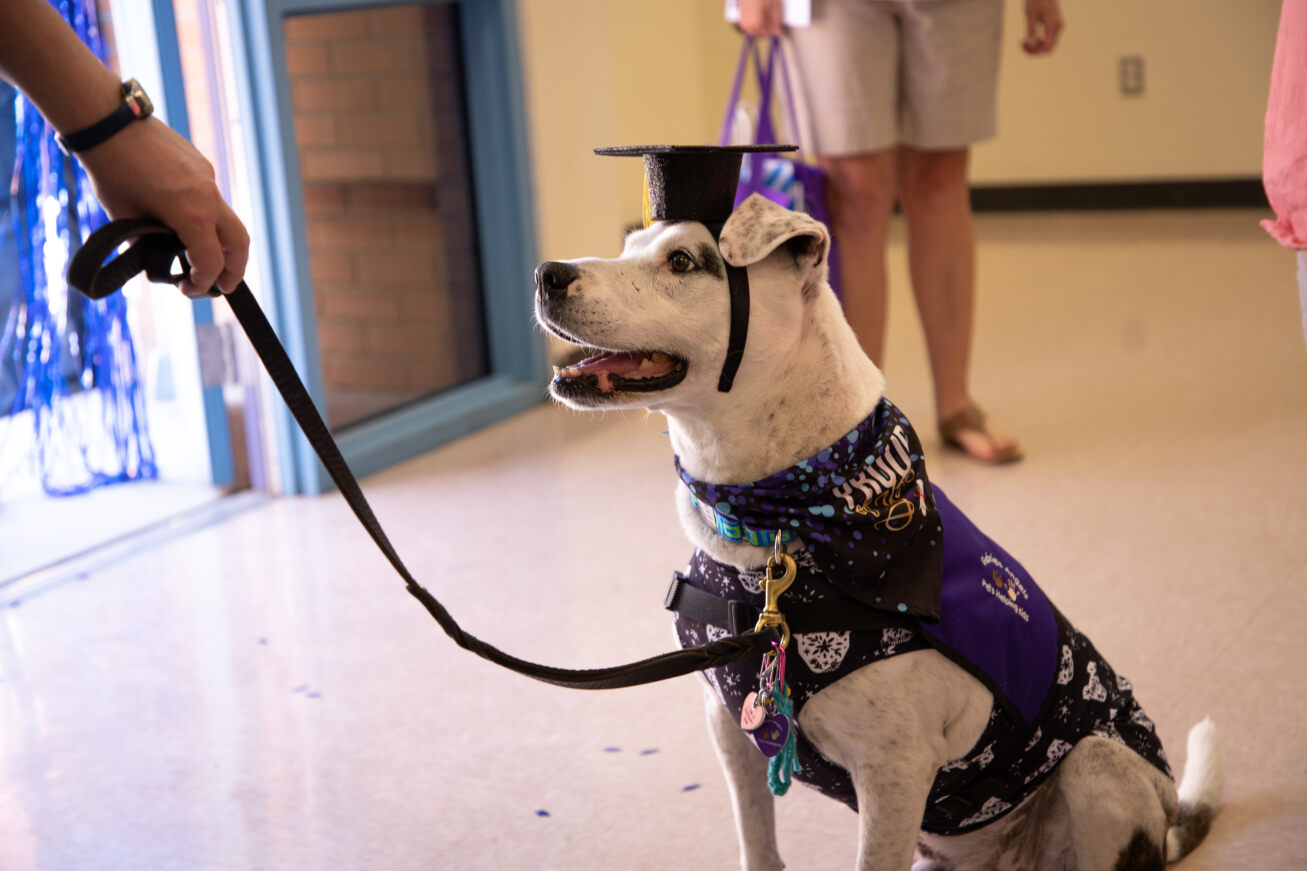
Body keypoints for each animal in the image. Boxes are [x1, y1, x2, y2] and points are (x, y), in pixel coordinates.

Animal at [528, 192, 1212, 868]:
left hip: (1098, 763)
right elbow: (758, 845)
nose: (547, 274)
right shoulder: (731, 728)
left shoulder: (895, 773)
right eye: (628, 246)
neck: (778, 524)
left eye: (683, 261)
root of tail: (1168, 822)